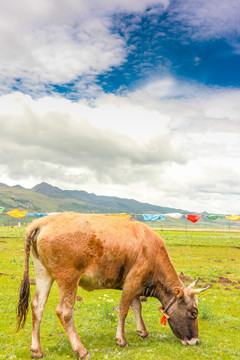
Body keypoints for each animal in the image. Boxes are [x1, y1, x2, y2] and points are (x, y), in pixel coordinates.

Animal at [16, 212, 208, 358]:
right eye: (194, 312)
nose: (196, 341)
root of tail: (44, 221)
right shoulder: (132, 280)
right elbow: (123, 309)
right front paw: (121, 340)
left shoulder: (135, 285)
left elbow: (136, 307)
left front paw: (142, 332)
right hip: (68, 278)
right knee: (64, 311)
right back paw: (81, 350)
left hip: (43, 273)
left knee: (37, 306)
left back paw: (36, 350)